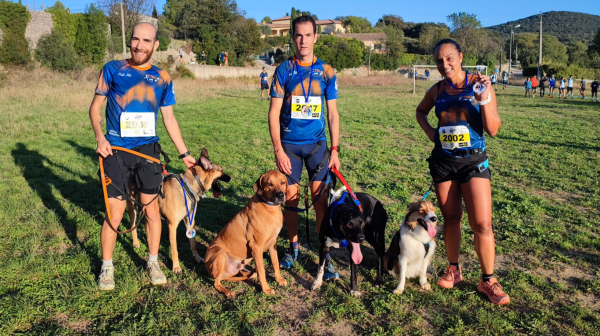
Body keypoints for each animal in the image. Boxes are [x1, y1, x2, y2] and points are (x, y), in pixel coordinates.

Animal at [205, 171, 290, 300]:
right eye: (269, 184)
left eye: (283, 182)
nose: (280, 195)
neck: (270, 207)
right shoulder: (257, 246)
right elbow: (261, 270)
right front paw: (266, 289)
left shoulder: (273, 242)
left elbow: (275, 263)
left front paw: (279, 279)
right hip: (220, 252)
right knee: (216, 282)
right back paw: (227, 291)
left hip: (246, 257)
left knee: (236, 273)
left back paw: (248, 274)